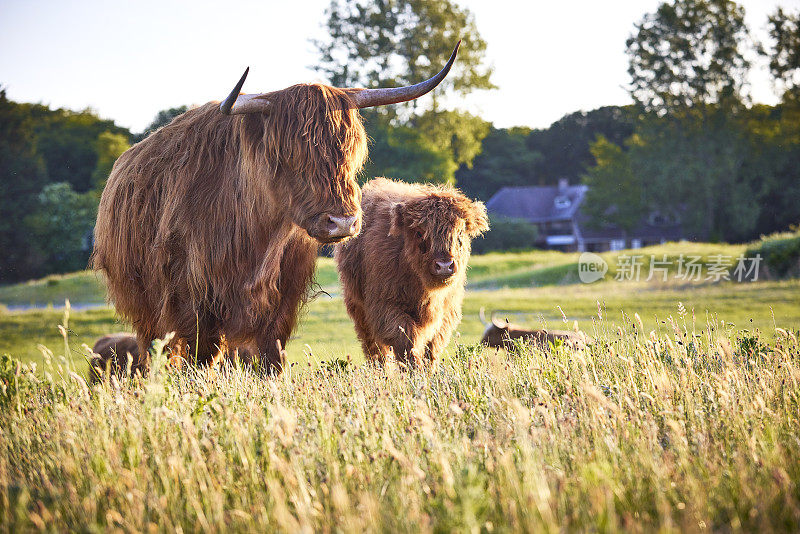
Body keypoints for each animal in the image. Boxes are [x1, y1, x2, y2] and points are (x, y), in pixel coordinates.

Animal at [90, 43, 460, 376]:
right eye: (289, 155)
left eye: (352, 150)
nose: (342, 222)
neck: (258, 240)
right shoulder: (193, 302)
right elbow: (200, 360)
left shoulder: (282, 302)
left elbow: (271, 360)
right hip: (144, 305)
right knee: (153, 352)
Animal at [332, 178, 488, 366]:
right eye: (420, 233)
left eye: (460, 233)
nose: (444, 265)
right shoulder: (386, 308)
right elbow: (407, 341)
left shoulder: (446, 313)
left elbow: (431, 349)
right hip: (359, 310)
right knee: (376, 351)